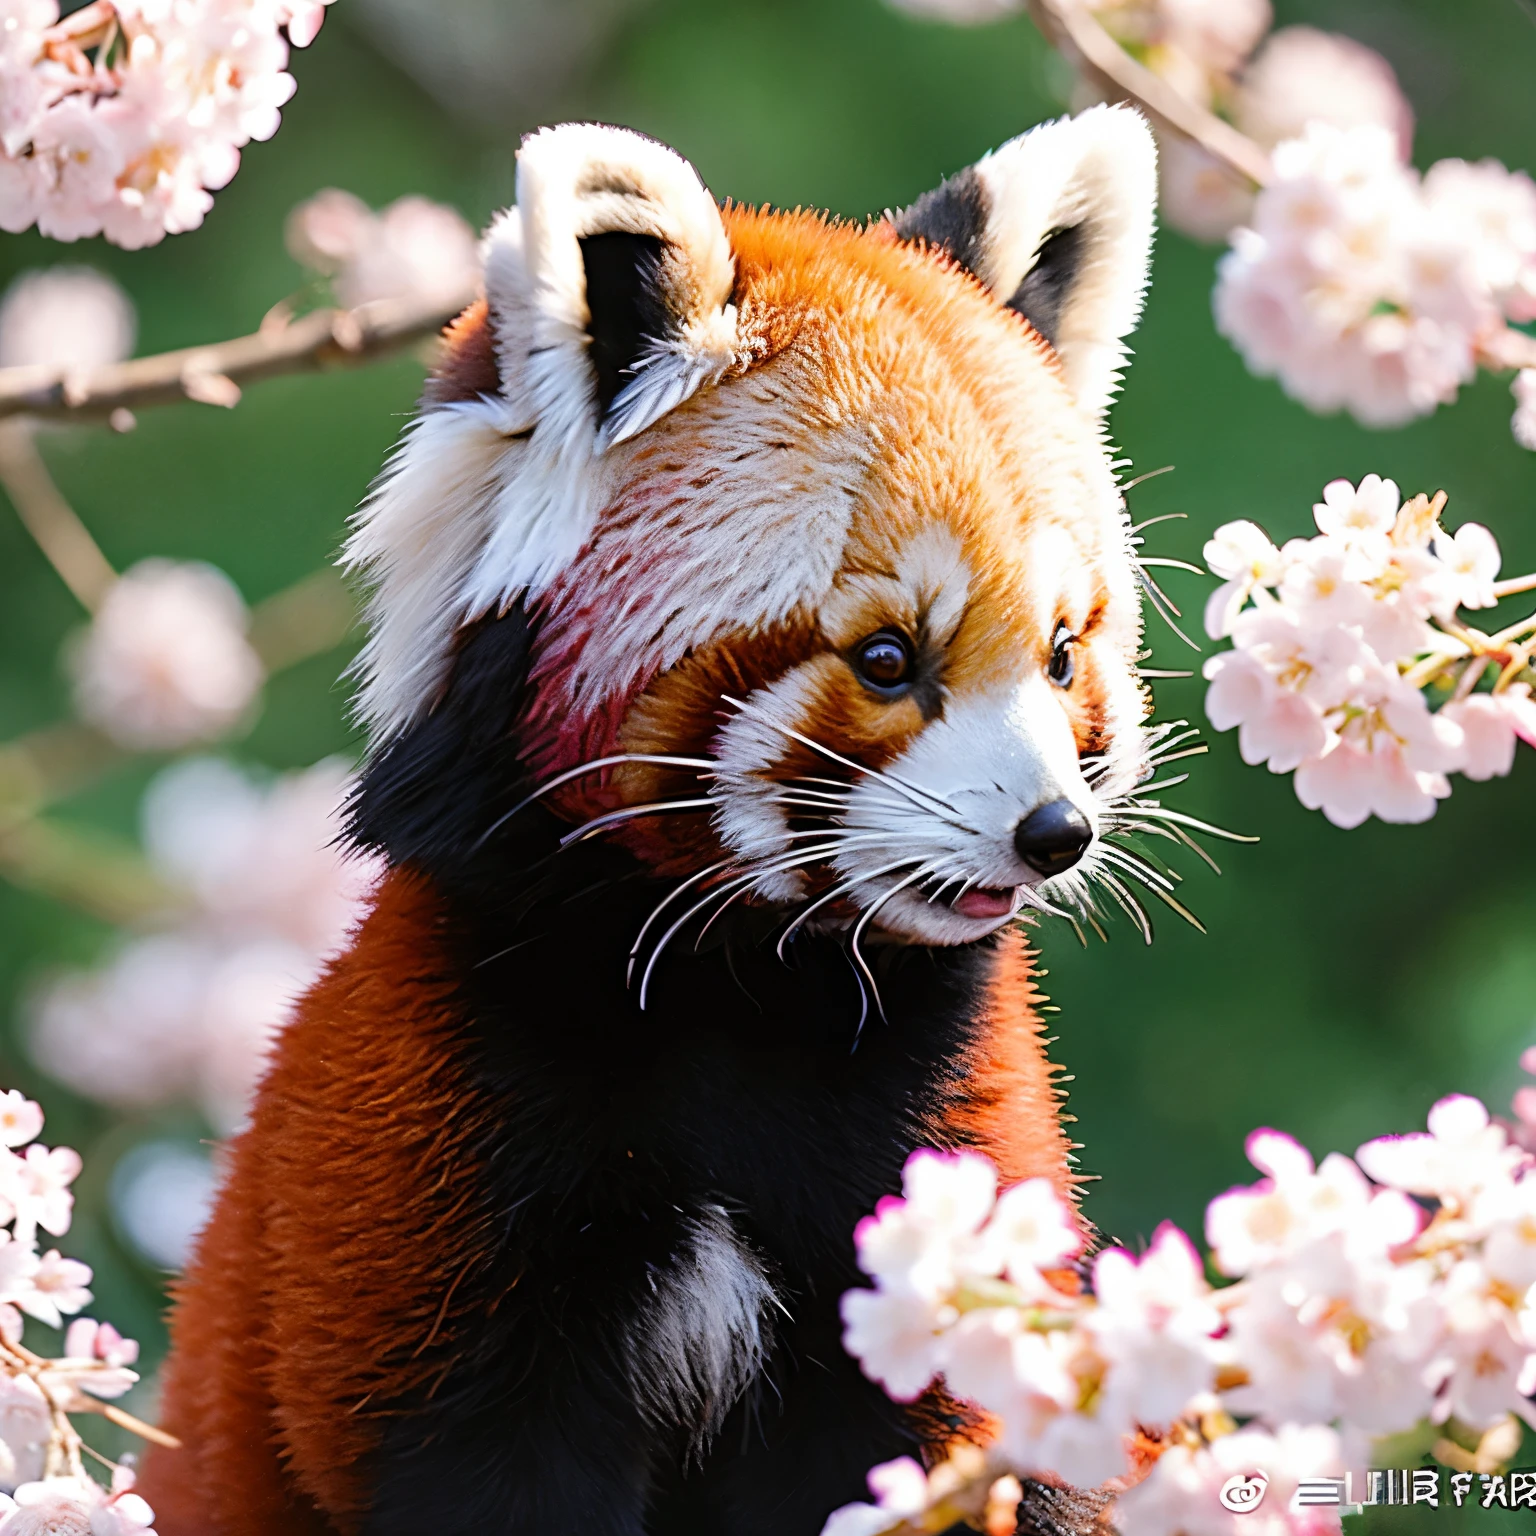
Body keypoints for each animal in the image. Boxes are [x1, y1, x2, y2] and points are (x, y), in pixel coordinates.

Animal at [141, 108, 1155, 1536]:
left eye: (1064, 655)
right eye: (889, 659)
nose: (1052, 832)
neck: (746, 997)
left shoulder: (953, 1137)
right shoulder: (435, 1156)